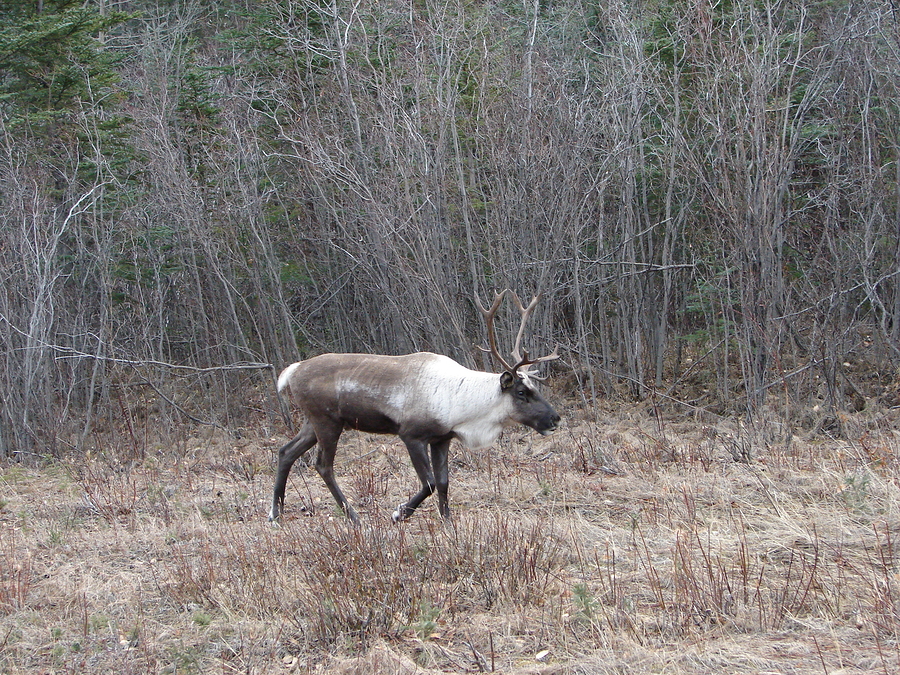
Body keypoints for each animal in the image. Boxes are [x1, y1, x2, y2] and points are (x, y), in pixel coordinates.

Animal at [270, 290, 560, 524]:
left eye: (536, 388)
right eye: (522, 392)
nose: (555, 419)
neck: (461, 406)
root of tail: (292, 371)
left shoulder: (442, 439)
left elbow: (443, 483)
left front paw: (448, 523)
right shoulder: (411, 435)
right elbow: (429, 483)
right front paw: (399, 513)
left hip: (313, 421)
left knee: (286, 452)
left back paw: (276, 513)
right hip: (327, 421)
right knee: (323, 465)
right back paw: (353, 516)